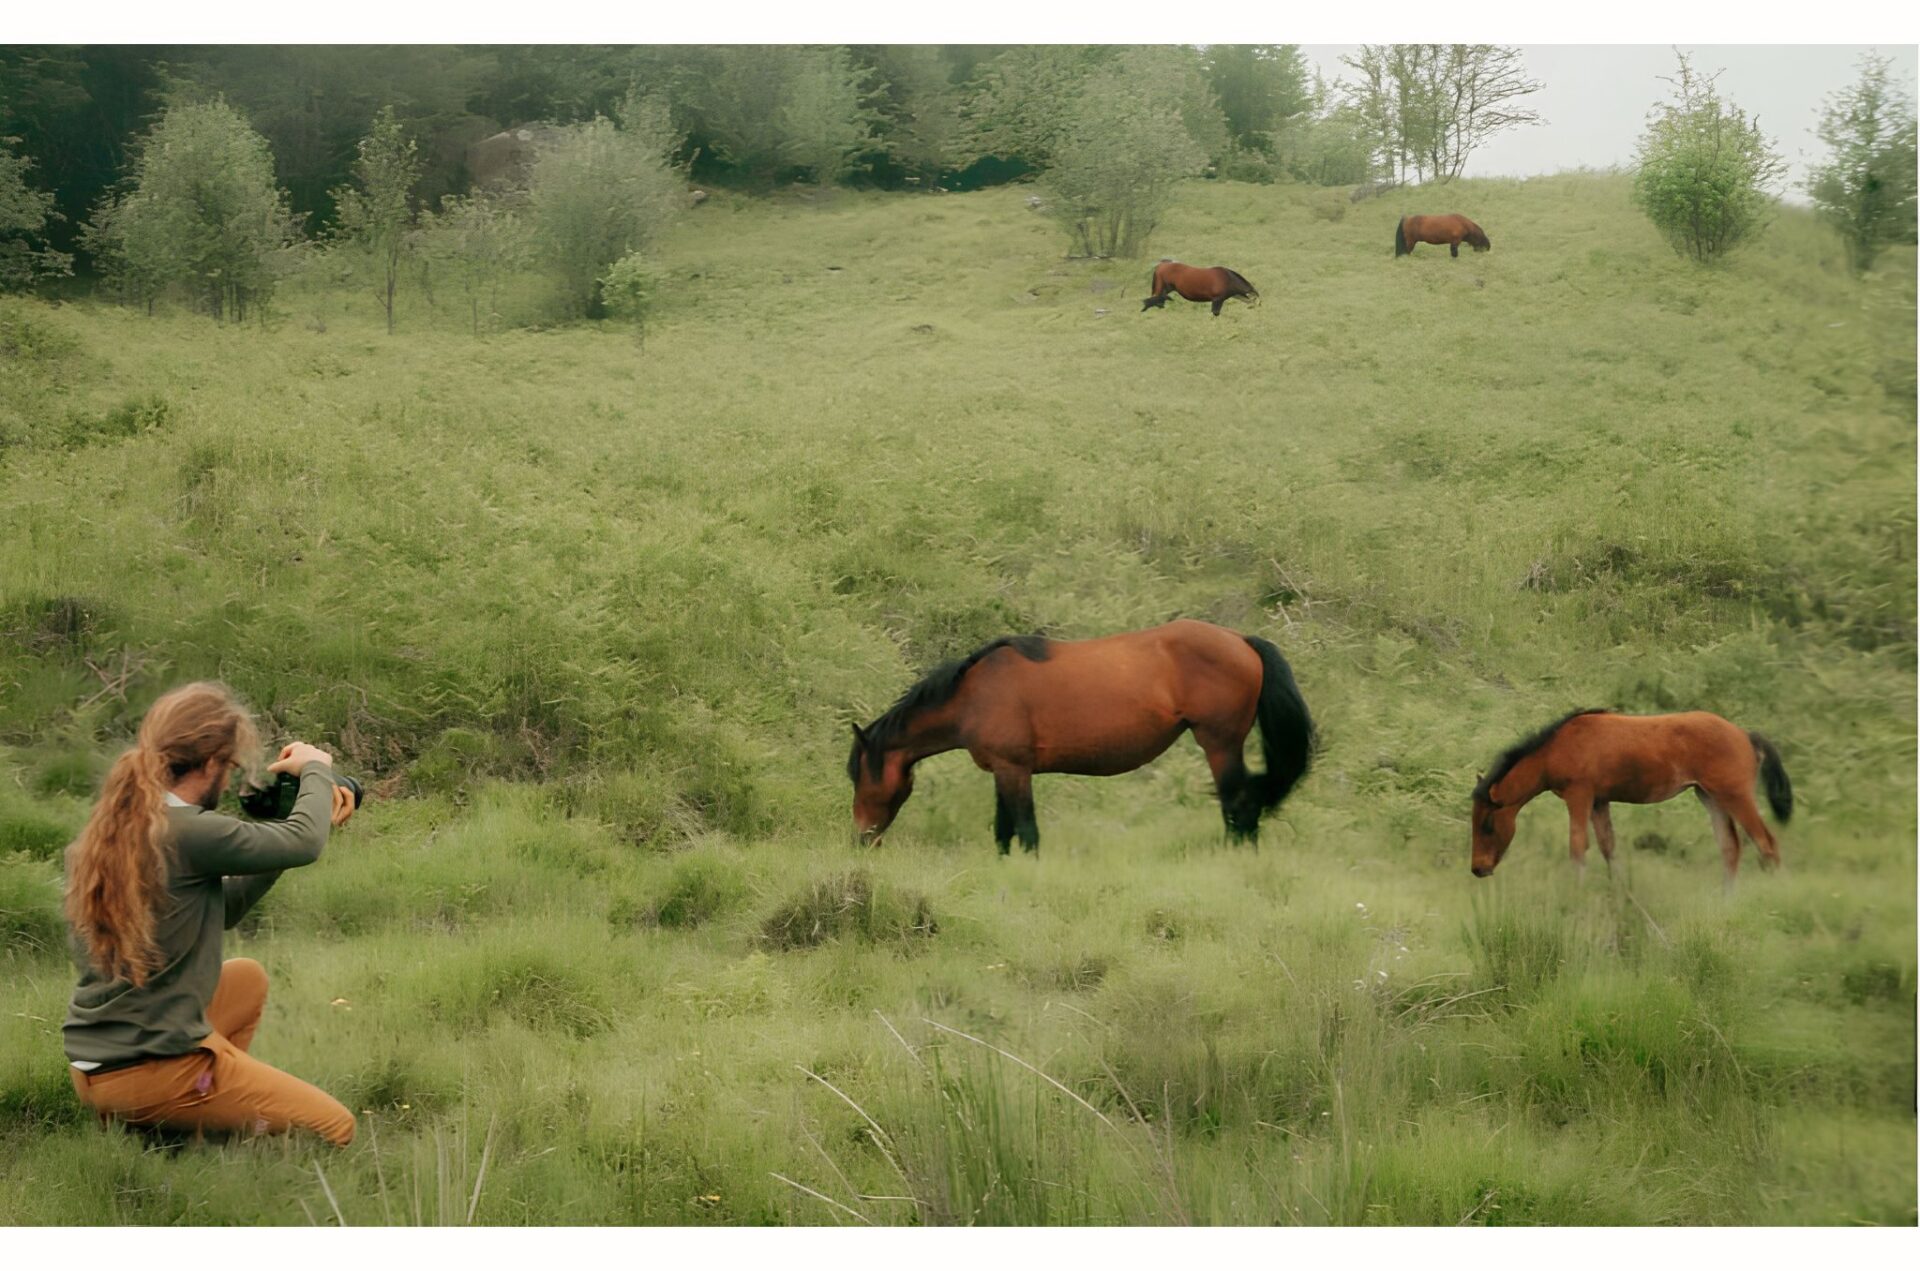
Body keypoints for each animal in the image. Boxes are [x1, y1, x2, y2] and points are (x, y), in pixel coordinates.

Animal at [847, 619, 1314, 854]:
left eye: (857, 776)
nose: (862, 838)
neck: (973, 695)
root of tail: (1240, 640)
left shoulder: (1015, 769)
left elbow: (1027, 831)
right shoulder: (1002, 770)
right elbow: (1004, 832)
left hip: (1220, 743)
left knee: (1239, 806)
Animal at [1469, 709, 1793, 889]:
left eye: (1487, 825)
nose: (1477, 869)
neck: (1556, 748)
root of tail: (1745, 735)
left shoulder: (1579, 796)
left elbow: (1578, 847)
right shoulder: (1599, 801)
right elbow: (1608, 848)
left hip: (1735, 796)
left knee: (1767, 844)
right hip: (1710, 797)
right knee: (1730, 848)